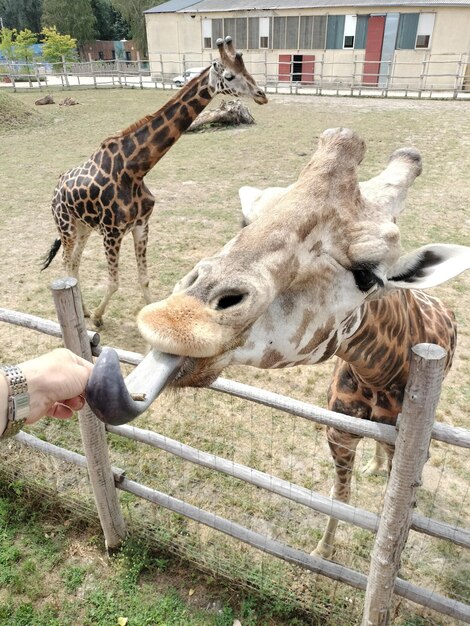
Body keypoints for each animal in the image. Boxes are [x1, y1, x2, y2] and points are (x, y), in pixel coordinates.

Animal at [41, 37, 266, 326]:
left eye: (246, 69)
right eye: (229, 75)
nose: (262, 94)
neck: (136, 170)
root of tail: (57, 187)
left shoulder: (141, 225)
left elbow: (144, 279)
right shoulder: (113, 232)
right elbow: (114, 282)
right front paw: (99, 318)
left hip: (83, 228)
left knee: (75, 264)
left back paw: (85, 310)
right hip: (66, 226)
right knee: (66, 264)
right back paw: (87, 312)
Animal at [85, 127, 470, 556]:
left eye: (368, 275)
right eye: (246, 219)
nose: (174, 321)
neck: (381, 371)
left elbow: (390, 515)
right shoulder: (338, 435)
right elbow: (340, 496)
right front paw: (323, 551)